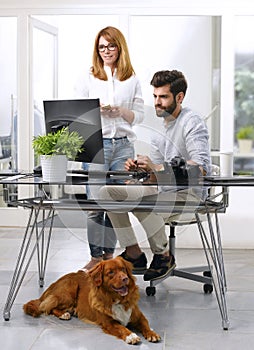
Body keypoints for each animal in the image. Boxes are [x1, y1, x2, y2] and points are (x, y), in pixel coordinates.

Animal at [22, 256, 161, 344]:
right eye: (111, 272)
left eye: (123, 269)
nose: (125, 278)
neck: (117, 300)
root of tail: (53, 284)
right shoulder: (108, 323)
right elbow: (122, 328)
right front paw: (131, 336)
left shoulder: (138, 316)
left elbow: (145, 324)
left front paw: (152, 334)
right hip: (69, 290)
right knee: (48, 307)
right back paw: (64, 314)